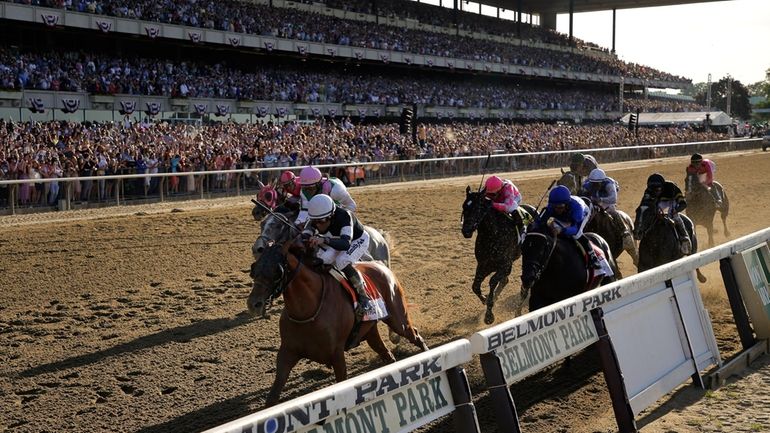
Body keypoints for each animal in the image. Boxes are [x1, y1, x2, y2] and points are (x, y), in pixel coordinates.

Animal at [246, 240, 426, 404]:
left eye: (277, 270)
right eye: (254, 268)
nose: (254, 304)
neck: (308, 310)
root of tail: (380, 265)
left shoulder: (337, 355)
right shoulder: (287, 352)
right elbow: (273, 396)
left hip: (398, 320)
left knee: (415, 335)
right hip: (371, 332)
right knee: (387, 355)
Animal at [462, 186, 536, 324]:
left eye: (477, 208)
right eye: (464, 207)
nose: (466, 231)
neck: (493, 234)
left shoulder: (505, 265)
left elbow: (492, 282)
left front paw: (489, 316)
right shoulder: (484, 264)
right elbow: (475, 286)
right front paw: (485, 299)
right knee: (505, 281)